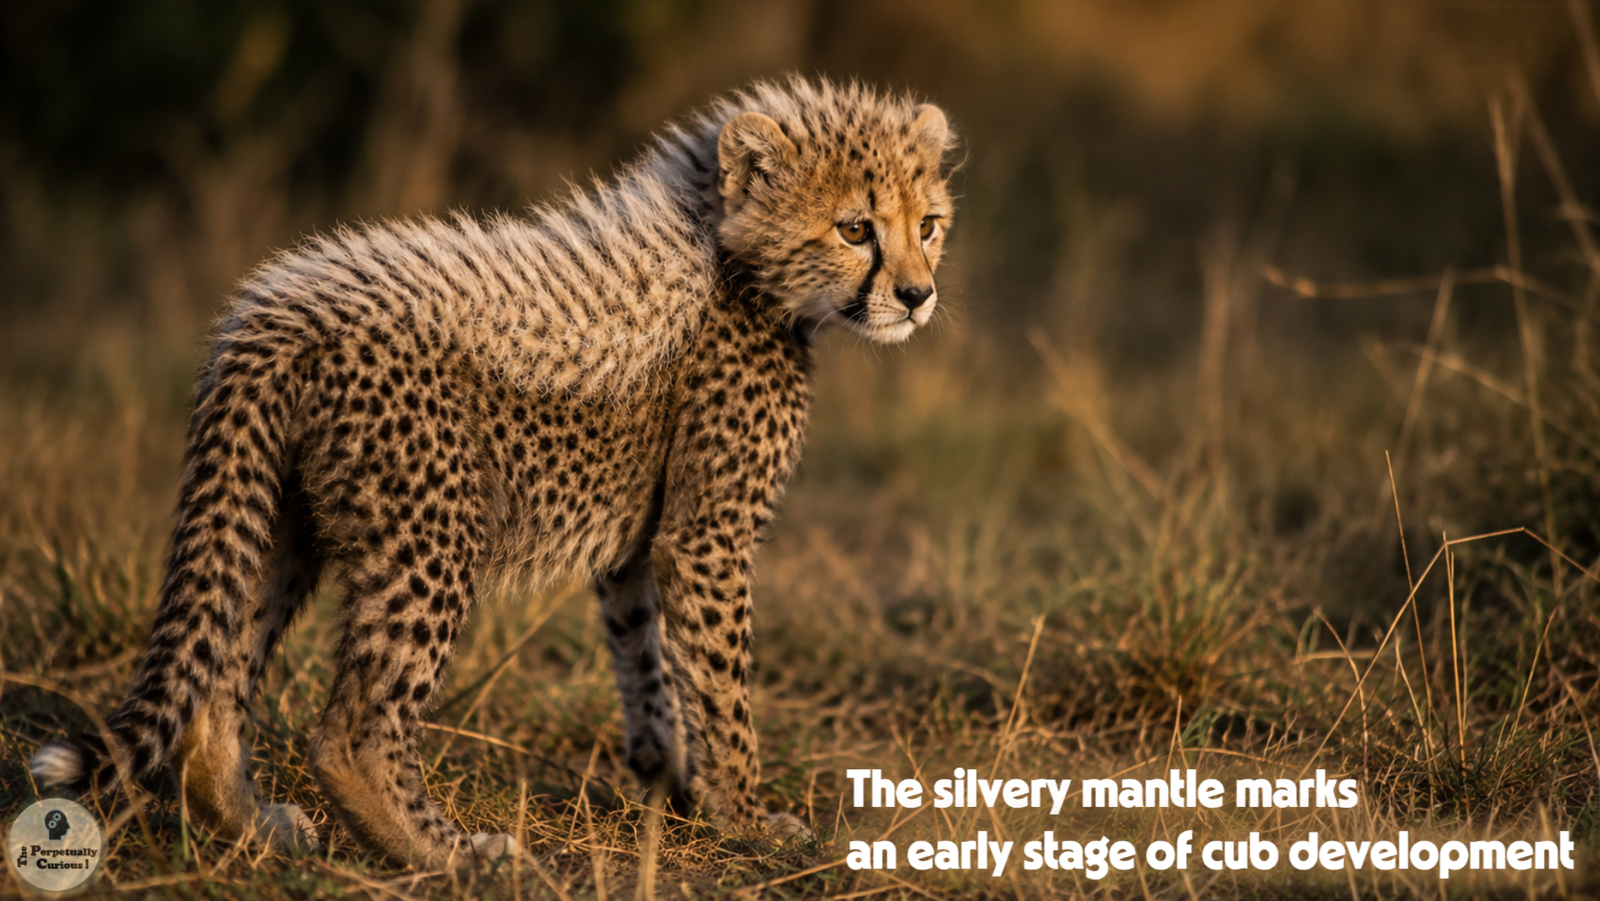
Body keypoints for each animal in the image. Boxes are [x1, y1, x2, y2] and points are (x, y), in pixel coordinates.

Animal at [30, 76, 956, 870]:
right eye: (855, 229)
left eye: (930, 225)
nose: (917, 297)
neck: (722, 245)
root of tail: (277, 306)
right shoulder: (706, 538)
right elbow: (722, 685)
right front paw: (745, 819)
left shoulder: (635, 543)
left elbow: (648, 662)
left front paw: (670, 782)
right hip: (432, 528)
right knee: (354, 728)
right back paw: (450, 854)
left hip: (272, 515)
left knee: (214, 685)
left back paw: (258, 829)